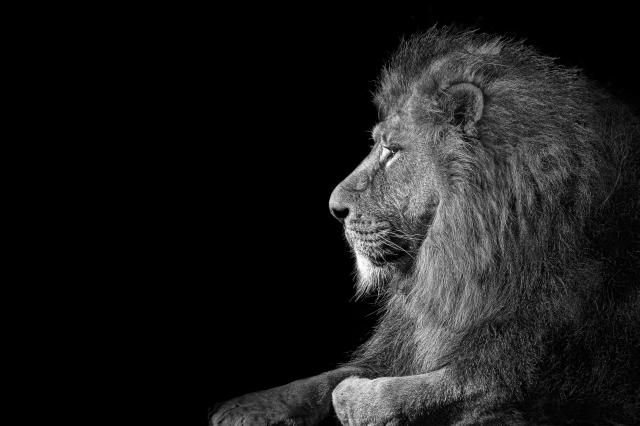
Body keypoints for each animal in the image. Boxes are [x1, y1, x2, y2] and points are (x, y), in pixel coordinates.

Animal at [210, 27, 640, 425]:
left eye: (392, 151)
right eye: (377, 145)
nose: (335, 209)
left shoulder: (518, 368)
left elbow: (410, 391)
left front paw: (354, 401)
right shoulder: (406, 340)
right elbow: (325, 377)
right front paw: (245, 406)